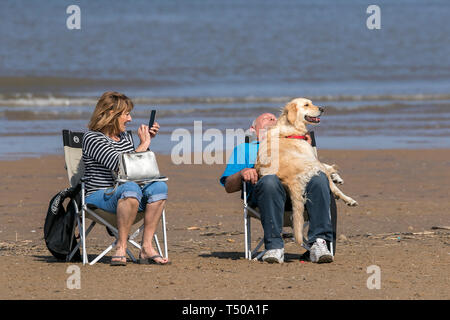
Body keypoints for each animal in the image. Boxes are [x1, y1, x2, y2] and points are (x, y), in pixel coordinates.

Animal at [256, 97, 358, 245]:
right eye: (306, 105)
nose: (322, 108)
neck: (291, 128)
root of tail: (291, 180)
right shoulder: (312, 156)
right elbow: (327, 166)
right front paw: (335, 174)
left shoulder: (312, 156)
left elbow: (327, 164)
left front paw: (337, 177)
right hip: (315, 168)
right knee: (334, 188)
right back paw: (348, 199)